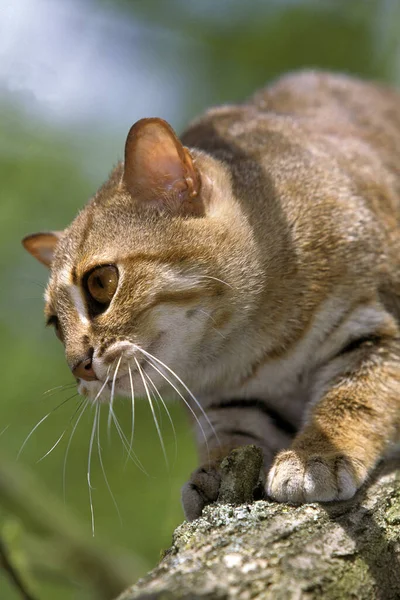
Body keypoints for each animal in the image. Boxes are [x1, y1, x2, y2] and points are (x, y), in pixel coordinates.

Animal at [21, 71, 400, 520]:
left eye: (100, 283)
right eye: (54, 325)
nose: (78, 367)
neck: (249, 352)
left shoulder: (377, 331)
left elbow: (353, 397)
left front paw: (316, 455)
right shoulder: (230, 400)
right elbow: (231, 436)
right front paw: (216, 471)